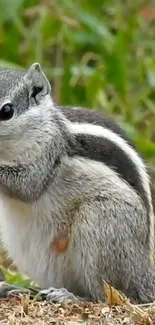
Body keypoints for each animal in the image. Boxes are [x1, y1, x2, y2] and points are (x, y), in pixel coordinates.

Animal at [0, 62, 154, 302]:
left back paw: (69, 297)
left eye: (6, 111)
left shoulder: (48, 153)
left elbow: (28, 186)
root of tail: (144, 276)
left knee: (107, 296)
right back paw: (17, 289)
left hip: (101, 224)